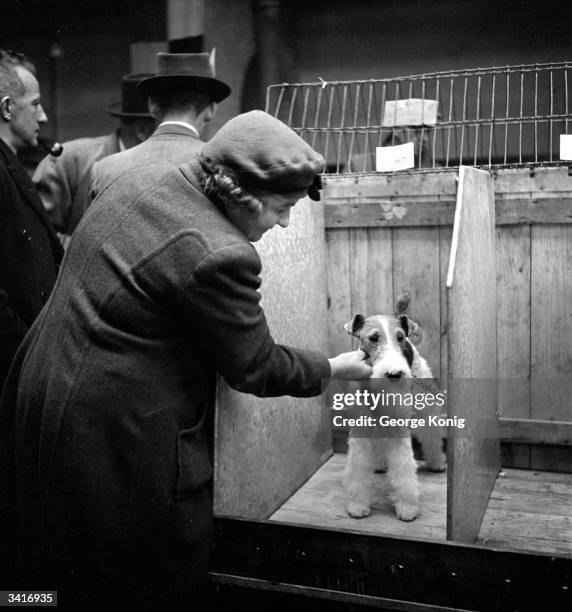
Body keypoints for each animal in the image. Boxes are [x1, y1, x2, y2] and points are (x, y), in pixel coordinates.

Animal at [340, 296, 446, 520]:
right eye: (373, 338)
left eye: (400, 337)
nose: (394, 374)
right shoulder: (361, 431)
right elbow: (358, 470)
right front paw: (357, 505)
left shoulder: (398, 430)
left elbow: (404, 470)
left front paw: (407, 507)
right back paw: (380, 465)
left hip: (427, 405)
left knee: (431, 437)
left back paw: (437, 463)